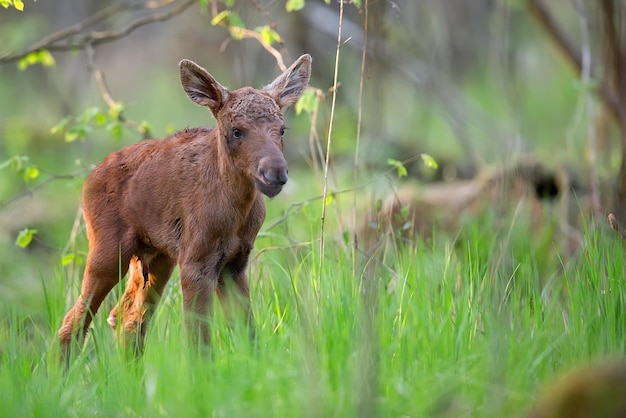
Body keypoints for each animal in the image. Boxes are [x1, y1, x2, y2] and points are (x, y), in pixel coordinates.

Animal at [57, 52, 310, 360]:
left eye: (282, 130)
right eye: (236, 131)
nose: (275, 172)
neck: (236, 212)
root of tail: (89, 178)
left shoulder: (235, 263)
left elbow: (248, 334)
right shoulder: (195, 262)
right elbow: (199, 342)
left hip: (155, 257)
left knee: (127, 318)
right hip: (108, 252)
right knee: (74, 321)